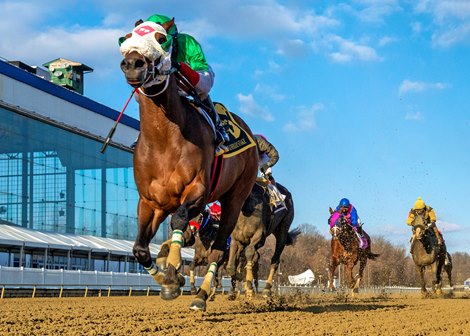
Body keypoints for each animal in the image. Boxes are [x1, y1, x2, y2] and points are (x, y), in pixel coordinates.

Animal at [117, 19, 258, 312]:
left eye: (161, 38)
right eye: (127, 38)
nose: (133, 63)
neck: (163, 140)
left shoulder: (198, 192)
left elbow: (180, 220)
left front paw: (173, 274)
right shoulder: (151, 202)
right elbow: (140, 249)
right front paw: (166, 280)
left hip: (235, 199)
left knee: (219, 249)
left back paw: (201, 297)